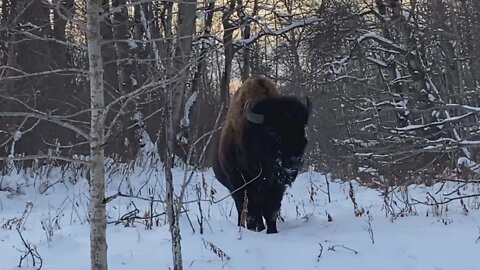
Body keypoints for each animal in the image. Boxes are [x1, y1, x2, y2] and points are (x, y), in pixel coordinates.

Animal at [213, 77, 312, 233]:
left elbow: (271, 211)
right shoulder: (240, 183)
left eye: (303, 129)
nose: (295, 161)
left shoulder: (276, 187)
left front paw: (272, 231)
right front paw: (253, 228)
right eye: (272, 132)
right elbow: (249, 210)